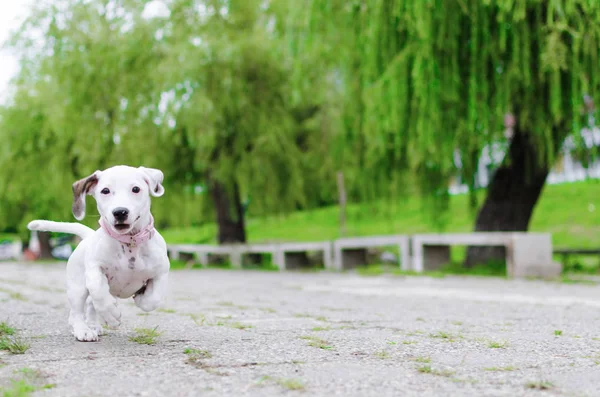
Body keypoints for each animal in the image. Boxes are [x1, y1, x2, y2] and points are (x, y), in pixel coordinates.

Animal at [28, 164, 171, 340]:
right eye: (105, 191)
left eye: (136, 189)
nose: (120, 212)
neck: (129, 243)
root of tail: (88, 236)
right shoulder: (94, 269)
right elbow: (97, 290)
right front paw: (111, 314)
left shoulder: (161, 272)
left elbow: (154, 299)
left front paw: (141, 299)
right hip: (77, 286)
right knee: (77, 311)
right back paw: (83, 330)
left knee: (91, 304)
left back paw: (93, 325)